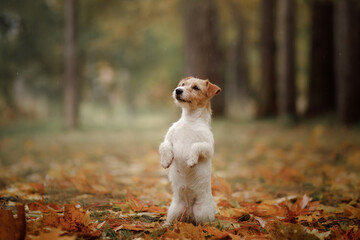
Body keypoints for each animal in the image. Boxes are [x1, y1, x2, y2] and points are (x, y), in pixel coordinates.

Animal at [159, 76, 221, 225]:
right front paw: (166, 161)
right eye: (182, 84)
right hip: (174, 210)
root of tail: (189, 213)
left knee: (204, 224)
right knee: (170, 221)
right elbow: (164, 146)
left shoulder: (208, 149)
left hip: (202, 213)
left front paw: (191, 160)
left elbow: (196, 146)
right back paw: (164, 226)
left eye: (196, 88)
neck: (189, 121)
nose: (178, 90)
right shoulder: (168, 139)